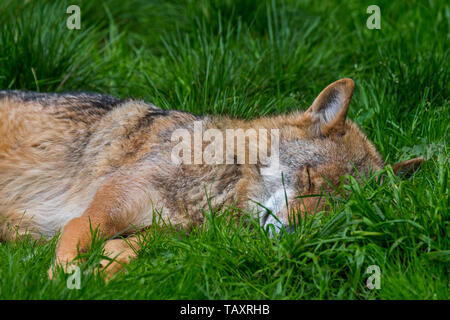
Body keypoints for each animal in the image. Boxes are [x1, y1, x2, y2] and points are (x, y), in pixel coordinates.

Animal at [0, 79, 422, 278]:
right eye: (309, 179)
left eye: (337, 210)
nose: (294, 233)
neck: (215, 188)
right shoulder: (97, 212)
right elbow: (76, 240)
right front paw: (67, 279)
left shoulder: (164, 236)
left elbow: (126, 253)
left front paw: (103, 273)